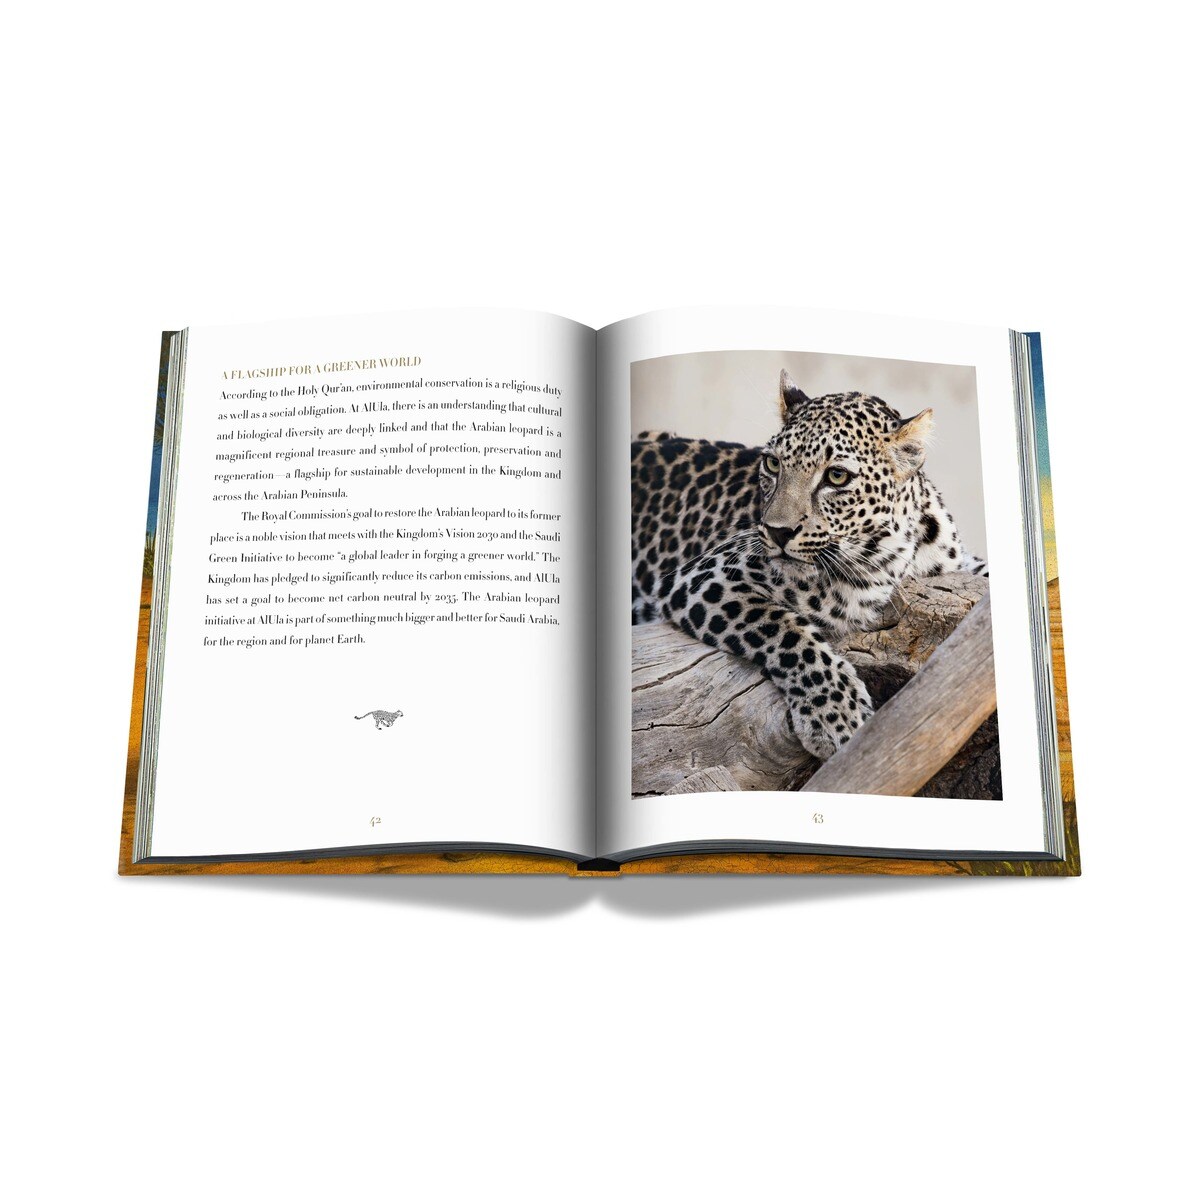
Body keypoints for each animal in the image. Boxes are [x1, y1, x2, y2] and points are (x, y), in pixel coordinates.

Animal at [631, 370, 986, 761]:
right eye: (773, 464)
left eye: (837, 477)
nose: (777, 531)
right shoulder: (707, 576)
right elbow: (786, 630)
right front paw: (838, 716)